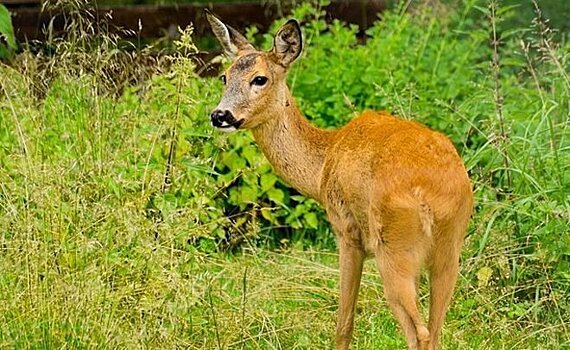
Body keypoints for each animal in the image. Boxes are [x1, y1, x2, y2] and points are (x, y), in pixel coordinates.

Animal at [204, 10, 470, 350]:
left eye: (260, 79)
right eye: (224, 77)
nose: (220, 115)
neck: (323, 161)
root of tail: (431, 199)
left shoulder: (346, 230)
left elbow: (344, 323)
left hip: (393, 246)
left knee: (419, 333)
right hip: (450, 249)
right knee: (436, 329)